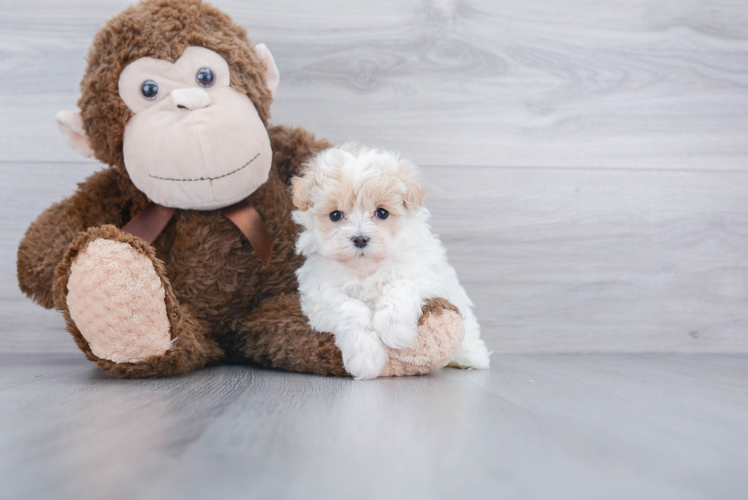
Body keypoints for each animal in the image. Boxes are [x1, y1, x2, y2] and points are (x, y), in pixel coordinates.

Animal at [290, 145, 490, 378]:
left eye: (382, 212)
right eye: (335, 215)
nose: (360, 239)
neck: (367, 268)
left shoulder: (423, 270)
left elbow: (400, 284)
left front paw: (394, 329)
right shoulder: (320, 293)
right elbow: (350, 308)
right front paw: (365, 356)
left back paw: (472, 356)